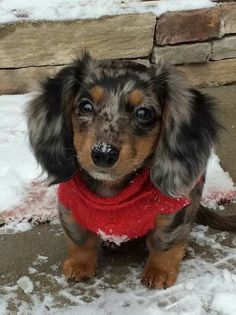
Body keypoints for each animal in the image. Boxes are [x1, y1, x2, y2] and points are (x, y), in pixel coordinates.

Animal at [26, 53, 235, 288]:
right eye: (85, 106)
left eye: (143, 113)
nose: (103, 153)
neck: (112, 190)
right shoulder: (69, 206)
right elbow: (79, 240)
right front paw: (79, 265)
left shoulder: (174, 210)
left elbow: (164, 243)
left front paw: (159, 271)